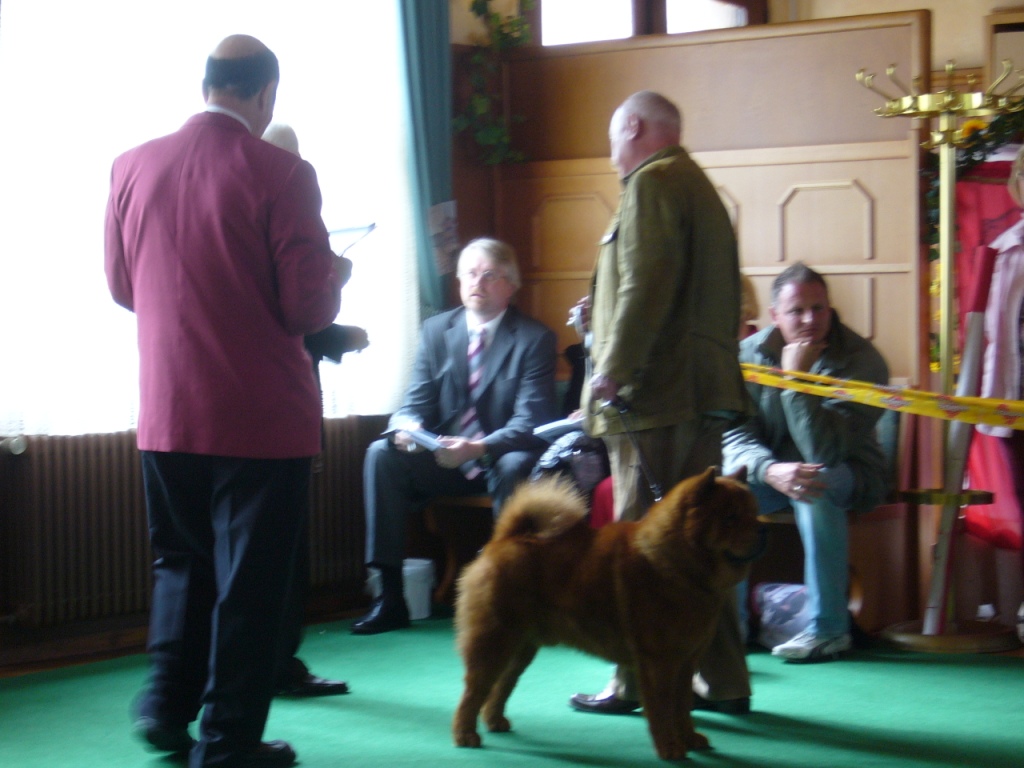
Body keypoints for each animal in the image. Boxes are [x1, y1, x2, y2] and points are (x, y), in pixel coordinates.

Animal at [451, 466, 760, 761]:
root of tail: (505, 539)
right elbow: (662, 710)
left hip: (521, 647)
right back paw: (465, 735)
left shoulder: (686, 661)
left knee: (500, 686)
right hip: (494, 640)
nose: (763, 532)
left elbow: (682, 708)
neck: (678, 564)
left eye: (753, 515)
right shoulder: (658, 662)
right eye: (730, 518)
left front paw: (690, 739)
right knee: (474, 690)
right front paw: (670, 748)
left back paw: (494, 721)